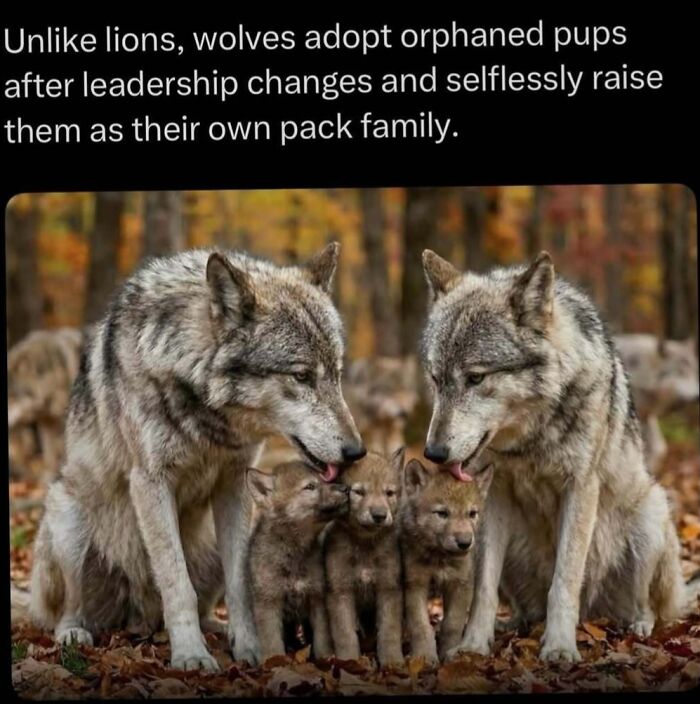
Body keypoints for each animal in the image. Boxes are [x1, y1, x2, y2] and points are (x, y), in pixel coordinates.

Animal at [246, 461, 348, 662]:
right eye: (310, 486)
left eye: (325, 480)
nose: (346, 488)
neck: (293, 552)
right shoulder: (268, 603)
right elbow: (272, 644)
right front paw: (276, 663)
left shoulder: (317, 598)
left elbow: (322, 639)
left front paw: (325, 660)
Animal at [324, 449, 404, 668]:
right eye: (359, 492)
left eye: (389, 493)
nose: (379, 515)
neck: (365, 544)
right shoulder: (340, 593)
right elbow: (345, 635)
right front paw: (348, 663)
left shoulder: (388, 589)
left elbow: (389, 631)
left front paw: (393, 663)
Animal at [400, 460, 493, 664]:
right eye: (442, 513)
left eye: (472, 513)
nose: (465, 543)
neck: (440, 558)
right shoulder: (415, 585)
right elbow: (420, 625)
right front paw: (425, 657)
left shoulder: (460, 584)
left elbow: (452, 624)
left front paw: (450, 653)